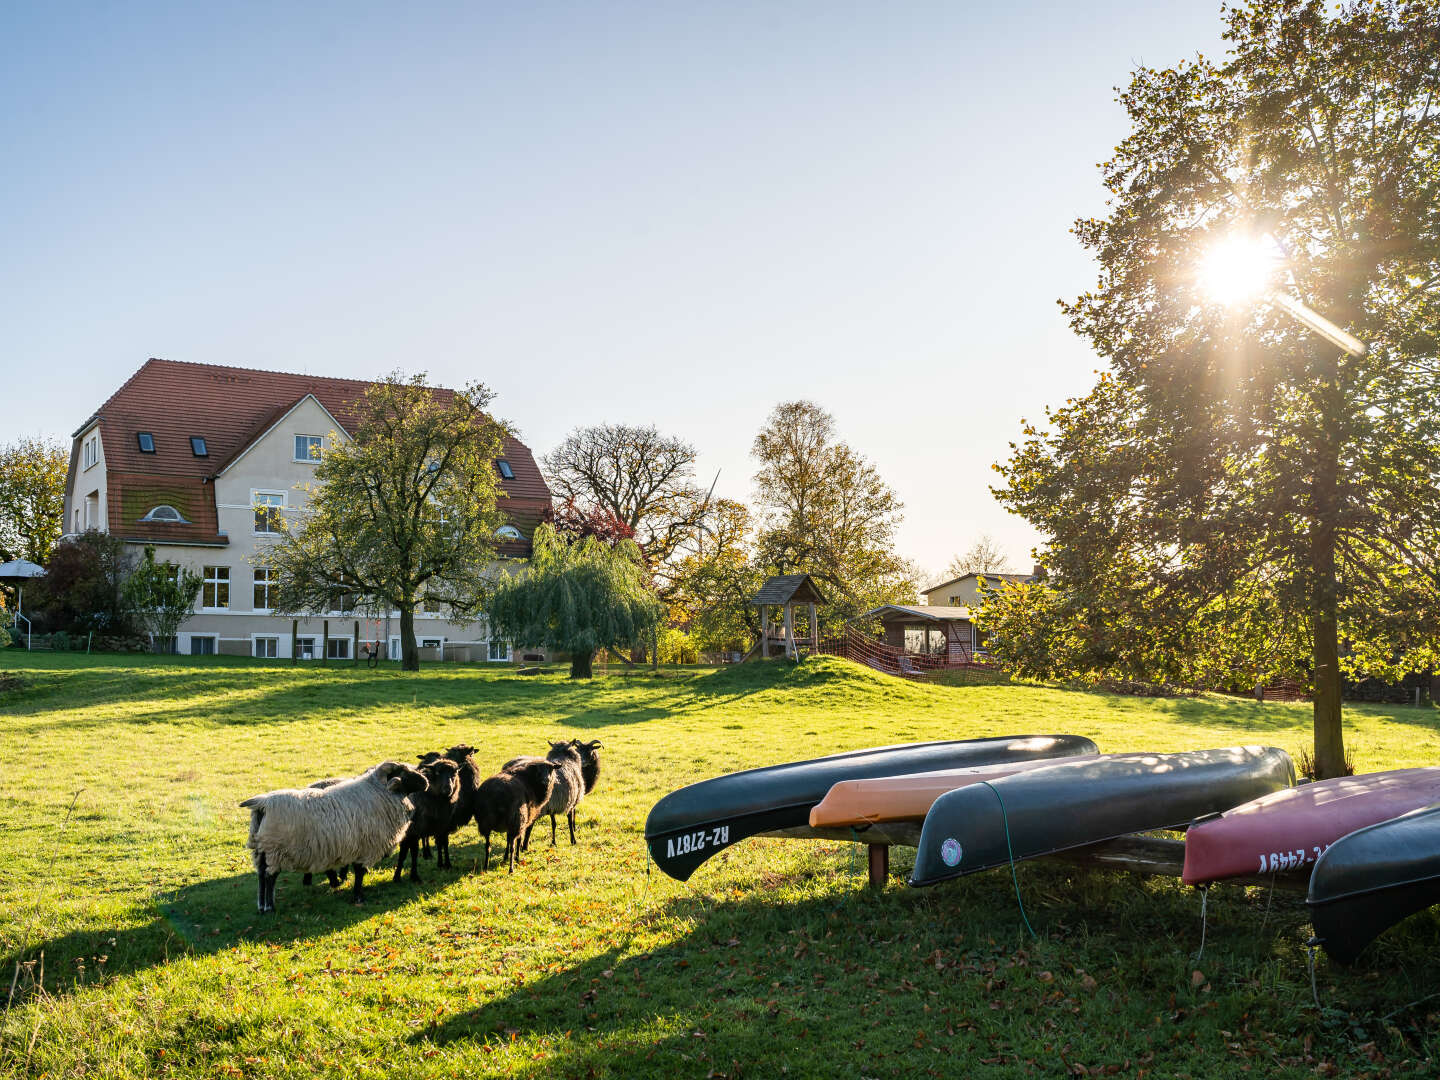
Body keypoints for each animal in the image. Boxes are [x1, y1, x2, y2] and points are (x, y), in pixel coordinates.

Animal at [236, 760, 423, 915]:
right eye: (403, 772)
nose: (425, 782)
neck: (378, 792)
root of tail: (262, 803)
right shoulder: (366, 847)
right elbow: (360, 872)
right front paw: (358, 897)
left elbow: (357, 871)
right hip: (275, 849)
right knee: (270, 877)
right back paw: (270, 908)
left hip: (261, 849)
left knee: (261, 875)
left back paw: (261, 906)